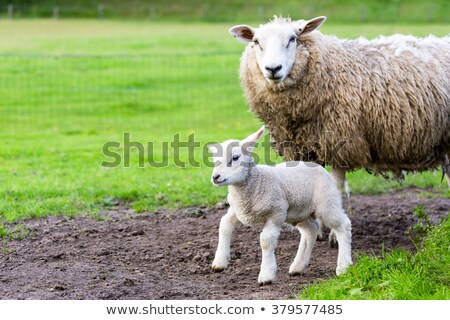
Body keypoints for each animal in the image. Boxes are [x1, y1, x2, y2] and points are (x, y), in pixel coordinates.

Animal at [209, 126, 354, 284]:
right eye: (215, 160)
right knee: (311, 230)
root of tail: (319, 167)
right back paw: (298, 267)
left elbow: (265, 240)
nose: (215, 177)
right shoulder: (238, 210)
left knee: (343, 226)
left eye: (235, 157)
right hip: (299, 212)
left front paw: (266, 275)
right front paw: (219, 262)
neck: (256, 182)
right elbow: (224, 225)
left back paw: (344, 267)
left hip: (327, 203)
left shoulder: (276, 213)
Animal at [230, 15, 450, 192]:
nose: (273, 69)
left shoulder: (340, 142)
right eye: (256, 41)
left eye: (292, 39)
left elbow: (334, 188)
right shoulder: (300, 147)